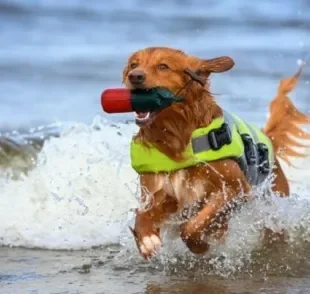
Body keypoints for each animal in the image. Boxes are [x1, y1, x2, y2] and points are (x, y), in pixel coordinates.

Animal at [121, 46, 310, 260]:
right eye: (134, 65)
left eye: (163, 66)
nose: (135, 76)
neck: (177, 139)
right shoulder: (160, 194)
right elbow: (142, 214)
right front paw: (146, 239)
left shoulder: (236, 189)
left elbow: (193, 226)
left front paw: (200, 245)